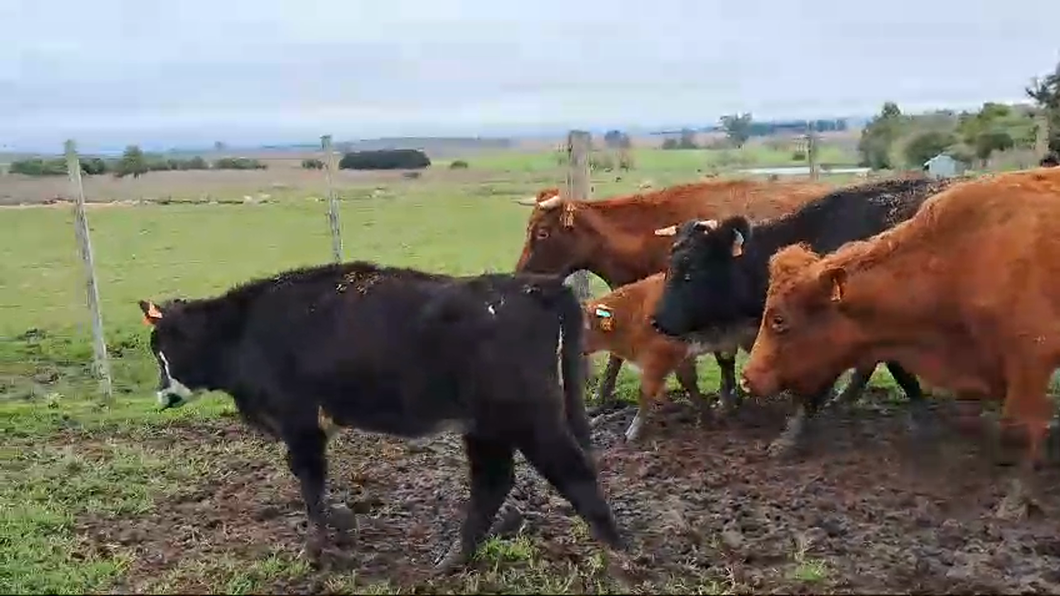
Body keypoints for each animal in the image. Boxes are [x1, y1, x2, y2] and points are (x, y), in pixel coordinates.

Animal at [137, 259, 623, 564]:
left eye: (163, 349)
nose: (161, 396)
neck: (245, 329)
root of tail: (534, 286)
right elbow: (315, 484)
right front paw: (342, 521)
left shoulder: (299, 423)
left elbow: (310, 483)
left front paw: (314, 547)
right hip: (486, 425)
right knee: (493, 482)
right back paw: (454, 559)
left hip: (530, 418)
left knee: (573, 471)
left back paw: (619, 555)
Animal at [513, 178, 835, 411]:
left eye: (542, 233)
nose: (521, 281)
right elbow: (617, 354)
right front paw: (604, 398)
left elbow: (720, 355)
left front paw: (725, 398)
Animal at [580, 271, 763, 439]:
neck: (636, 312)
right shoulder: (682, 357)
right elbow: (690, 383)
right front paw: (707, 418)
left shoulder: (658, 361)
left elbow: (645, 393)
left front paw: (633, 431)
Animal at [741, 165, 1060, 515]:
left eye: (779, 320)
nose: (747, 377)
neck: (961, 257)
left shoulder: (1030, 361)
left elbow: (1021, 427)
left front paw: (1017, 499)